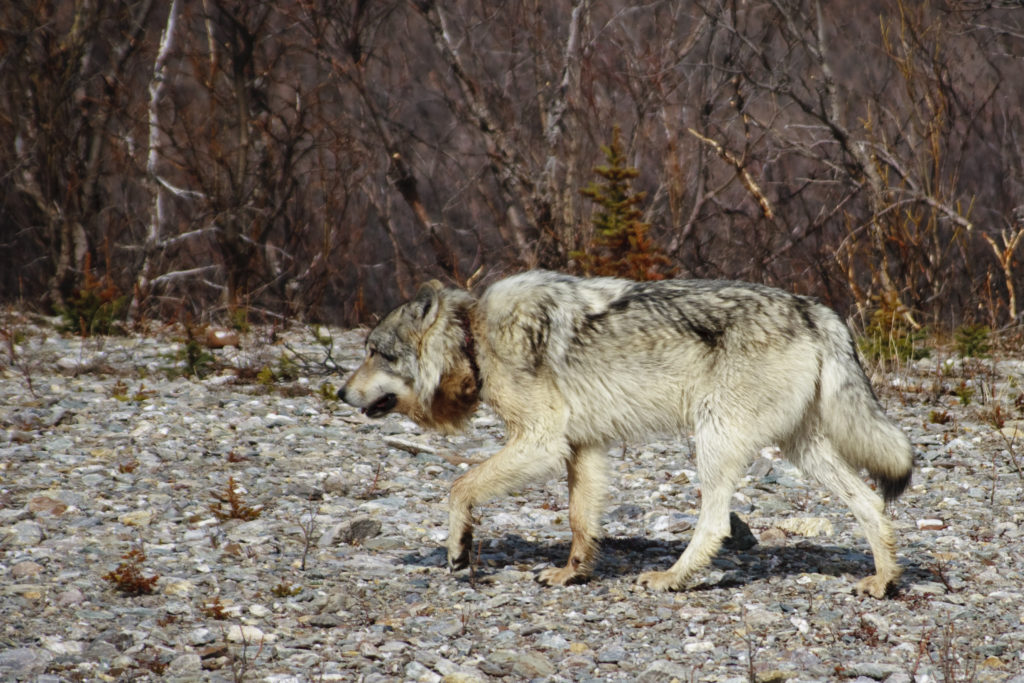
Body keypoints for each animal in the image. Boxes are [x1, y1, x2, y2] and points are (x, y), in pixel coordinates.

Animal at [339, 271, 913, 597]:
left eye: (375, 351)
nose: (341, 394)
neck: (473, 340)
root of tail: (816, 310)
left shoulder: (541, 442)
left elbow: (459, 486)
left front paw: (458, 548)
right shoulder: (583, 448)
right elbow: (580, 521)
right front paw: (573, 574)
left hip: (713, 441)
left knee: (715, 525)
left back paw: (671, 579)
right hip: (801, 449)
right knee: (871, 503)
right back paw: (884, 581)